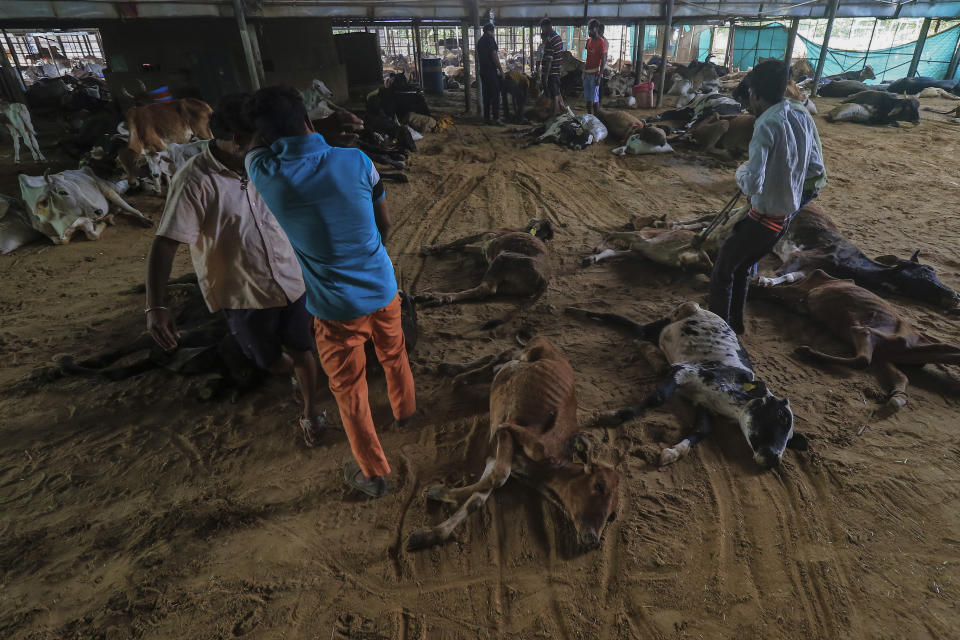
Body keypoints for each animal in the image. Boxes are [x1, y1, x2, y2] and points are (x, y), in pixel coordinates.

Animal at [19, 166, 151, 244]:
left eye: (77, 187)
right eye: (62, 192)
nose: (99, 211)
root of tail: (84, 168)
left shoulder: (85, 219)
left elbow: (92, 235)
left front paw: (102, 223)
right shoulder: (51, 235)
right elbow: (61, 241)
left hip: (109, 190)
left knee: (129, 207)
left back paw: (146, 220)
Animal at [406, 338, 624, 552]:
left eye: (612, 515)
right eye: (599, 485)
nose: (593, 539)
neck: (545, 472)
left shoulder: (497, 457)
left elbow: (478, 498)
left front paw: (429, 534)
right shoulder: (509, 432)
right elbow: (500, 476)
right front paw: (436, 492)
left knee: (498, 357)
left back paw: (456, 371)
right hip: (528, 351)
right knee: (505, 352)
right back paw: (458, 373)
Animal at [568, 302, 804, 468]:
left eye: (791, 438)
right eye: (782, 416)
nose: (774, 459)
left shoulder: (704, 405)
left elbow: (701, 430)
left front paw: (673, 452)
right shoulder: (685, 371)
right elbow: (658, 397)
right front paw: (610, 416)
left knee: (639, 332)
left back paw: (650, 352)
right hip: (674, 314)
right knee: (626, 322)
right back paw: (577, 311)